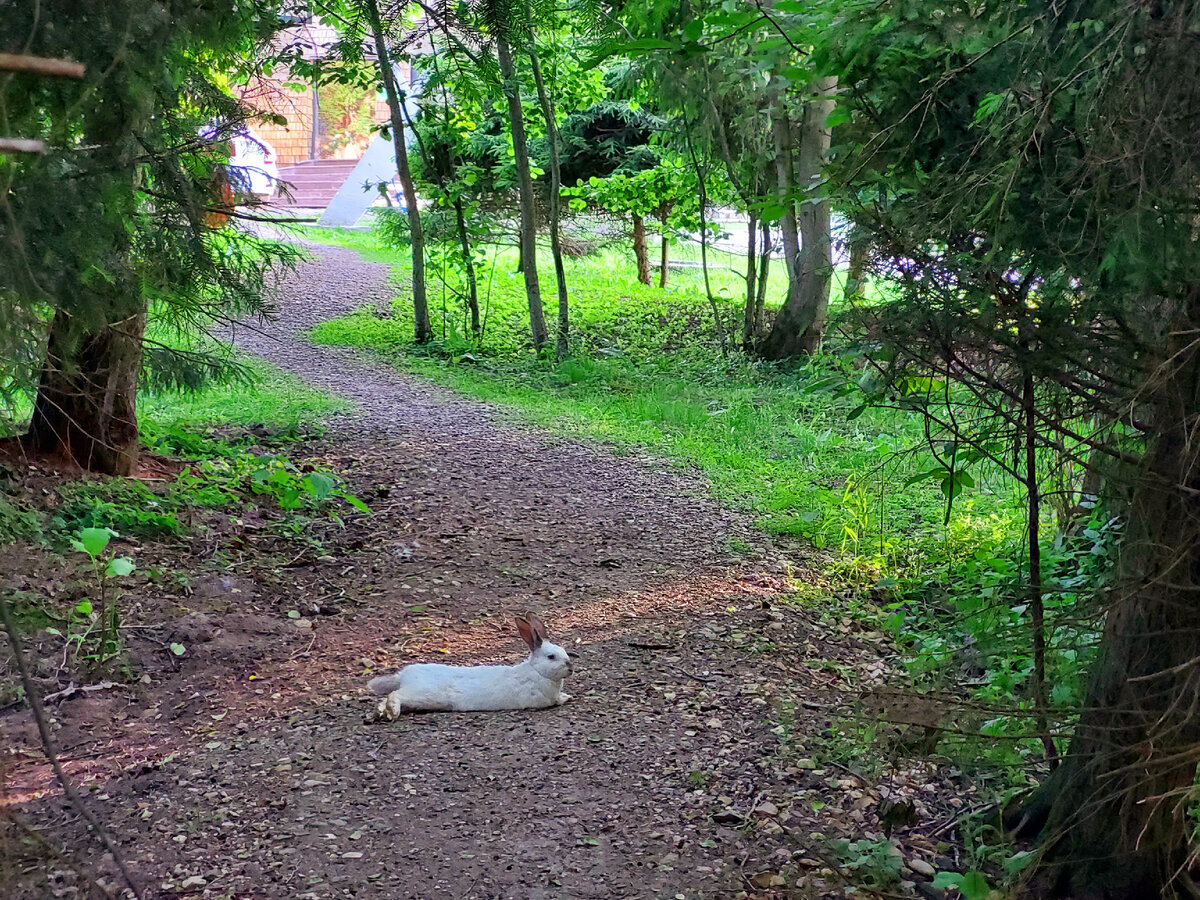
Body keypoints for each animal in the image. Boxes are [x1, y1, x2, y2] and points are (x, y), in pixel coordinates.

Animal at [364, 609, 571, 724]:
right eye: (551, 657)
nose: (570, 668)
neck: (537, 672)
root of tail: (403, 676)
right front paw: (565, 698)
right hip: (423, 694)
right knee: (395, 695)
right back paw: (392, 712)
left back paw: (382, 713)